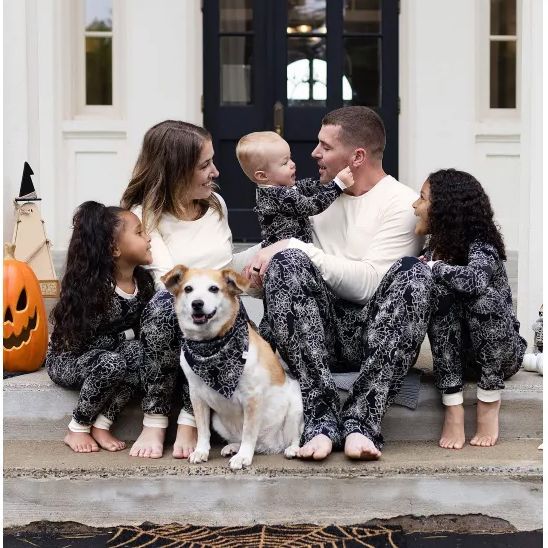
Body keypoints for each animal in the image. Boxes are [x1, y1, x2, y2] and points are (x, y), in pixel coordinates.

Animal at [163, 264, 304, 468]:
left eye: (213, 289)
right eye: (188, 289)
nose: (197, 303)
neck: (210, 345)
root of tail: (272, 446)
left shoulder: (252, 398)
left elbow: (249, 432)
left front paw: (244, 456)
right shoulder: (196, 396)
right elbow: (202, 431)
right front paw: (201, 451)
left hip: (295, 408)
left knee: (294, 437)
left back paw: (292, 449)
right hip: (217, 421)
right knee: (250, 441)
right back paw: (233, 447)